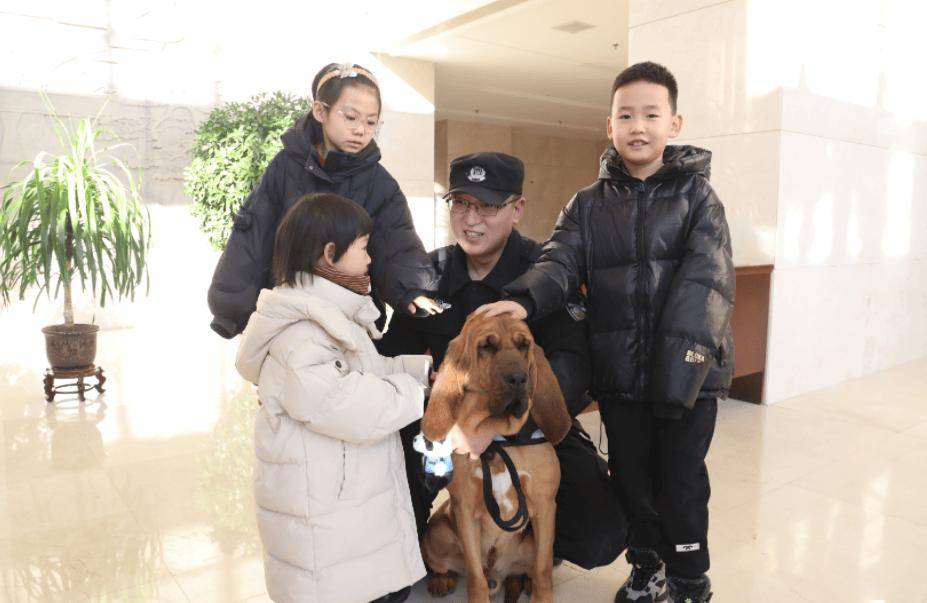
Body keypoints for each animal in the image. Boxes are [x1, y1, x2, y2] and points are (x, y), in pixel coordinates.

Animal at [420, 313, 571, 603]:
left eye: (524, 345)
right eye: (486, 346)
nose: (519, 379)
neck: (500, 438)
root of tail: (498, 573)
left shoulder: (545, 507)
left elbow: (543, 570)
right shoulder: (464, 509)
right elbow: (474, 575)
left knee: (528, 570)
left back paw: (523, 581)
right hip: (437, 530)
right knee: (454, 567)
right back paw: (442, 580)